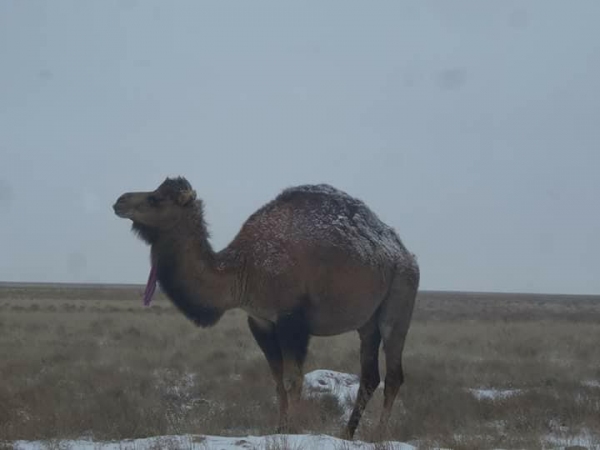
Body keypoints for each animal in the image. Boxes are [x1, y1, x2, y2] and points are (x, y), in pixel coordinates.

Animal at [113, 177, 422, 440]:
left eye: (156, 199)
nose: (119, 201)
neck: (243, 269)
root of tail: (404, 253)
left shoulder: (291, 319)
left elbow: (293, 378)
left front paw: (293, 431)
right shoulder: (260, 320)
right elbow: (276, 379)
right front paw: (279, 428)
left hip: (400, 297)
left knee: (394, 374)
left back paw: (379, 435)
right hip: (367, 320)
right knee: (370, 375)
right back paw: (346, 433)